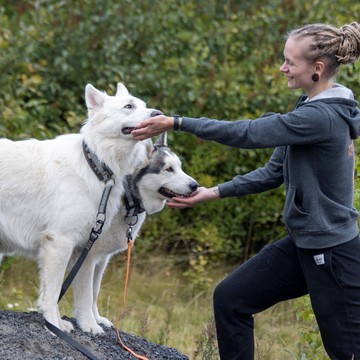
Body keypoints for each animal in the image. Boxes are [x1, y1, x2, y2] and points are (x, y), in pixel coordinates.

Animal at [0, 83, 171, 334]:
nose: (159, 114)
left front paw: (69, 323)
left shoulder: (81, 248)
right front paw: (56, 324)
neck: (96, 165)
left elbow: (76, 293)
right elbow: (57, 293)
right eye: (128, 106)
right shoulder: (61, 243)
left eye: (143, 105)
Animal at [71, 133, 198, 334]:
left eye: (180, 167)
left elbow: (95, 290)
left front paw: (97, 319)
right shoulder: (86, 257)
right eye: (168, 169)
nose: (195, 185)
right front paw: (89, 323)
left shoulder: (100, 260)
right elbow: (86, 293)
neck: (127, 199)